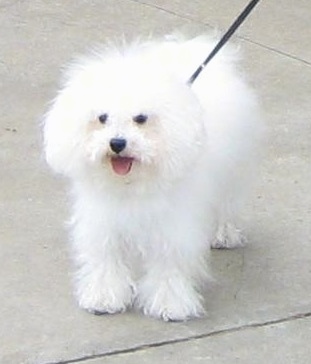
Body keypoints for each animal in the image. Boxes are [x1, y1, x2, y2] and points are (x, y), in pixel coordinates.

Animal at [43, 35, 260, 322]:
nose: (117, 143)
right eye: (102, 118)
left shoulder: (172, 228)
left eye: (141, 118)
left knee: (227, 206)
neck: (133, 184)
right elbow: (106, 259)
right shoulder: (104, 223)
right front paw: (104, 298)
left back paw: (224, 234)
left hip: (232, 174)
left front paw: (171, 305)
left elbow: (169, 265)